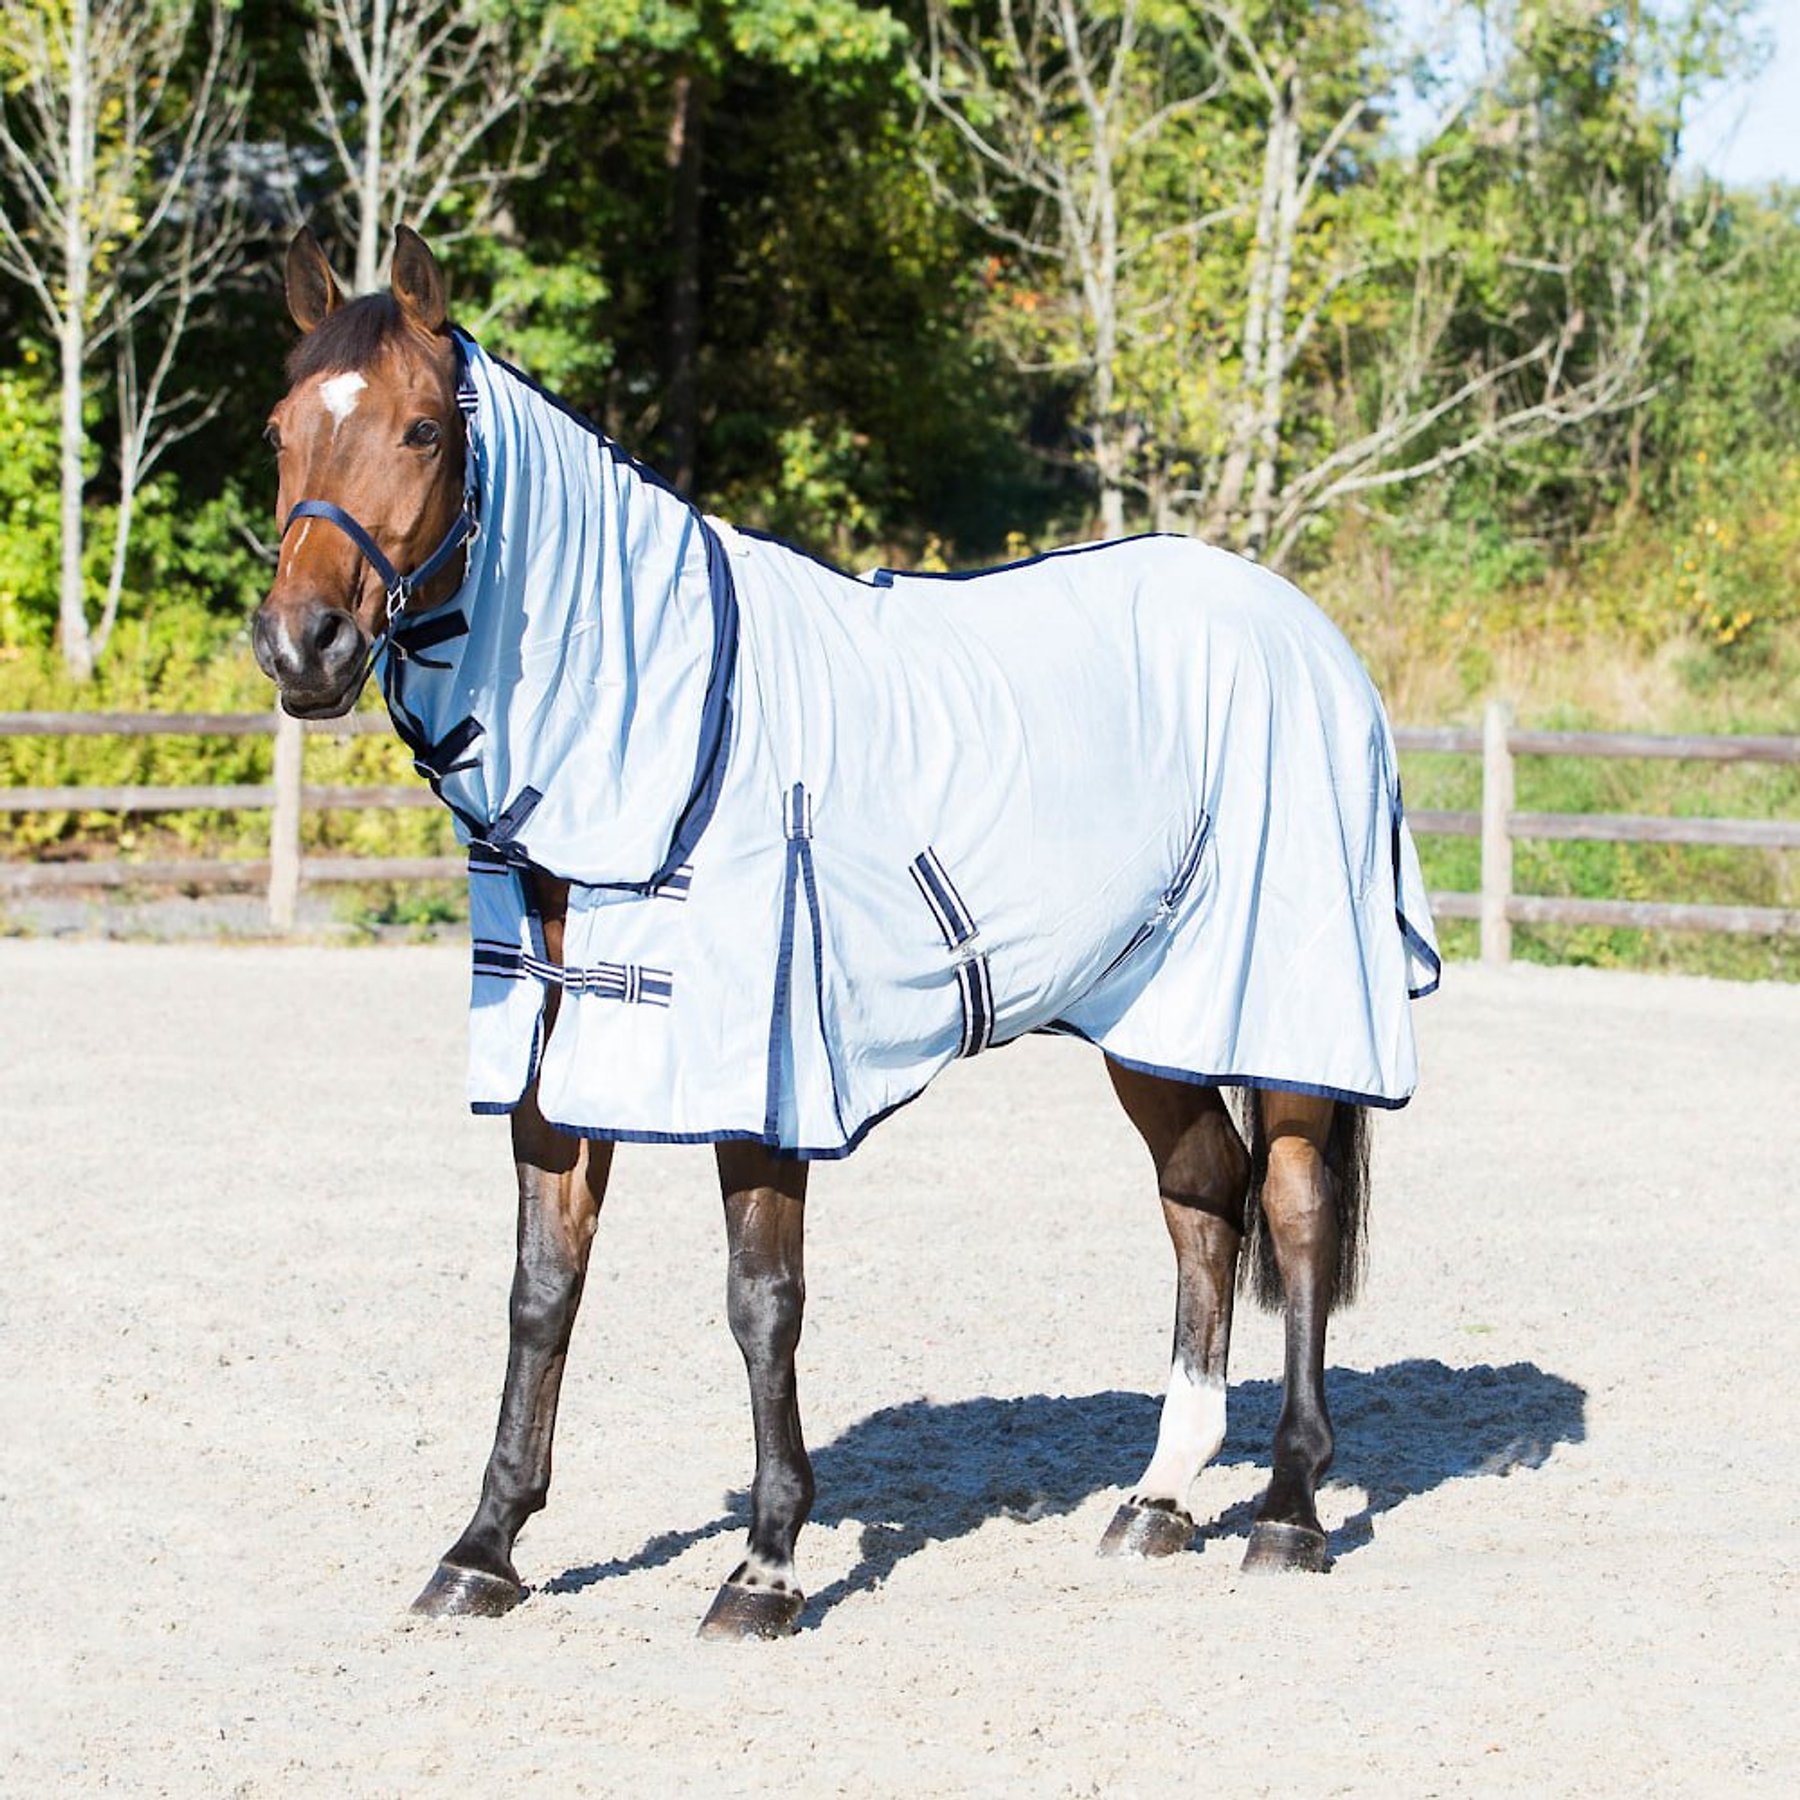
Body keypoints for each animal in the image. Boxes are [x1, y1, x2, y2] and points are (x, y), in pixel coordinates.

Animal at [252, 226, 1440, 1640]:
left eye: (425, 429)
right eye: (278, 432)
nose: (303, 645)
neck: (665, 729)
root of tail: (1304, 631)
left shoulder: (760, 1077)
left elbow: (762, 1304)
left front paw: (762, 1567)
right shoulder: (557, 1063)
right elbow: (541, 1298)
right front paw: (484, 1549)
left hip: (1292, 1005)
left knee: (1298, 1216)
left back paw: (1288, 1511)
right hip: (1151, 1014)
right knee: (1205, 1193)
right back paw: (1157, 1500)